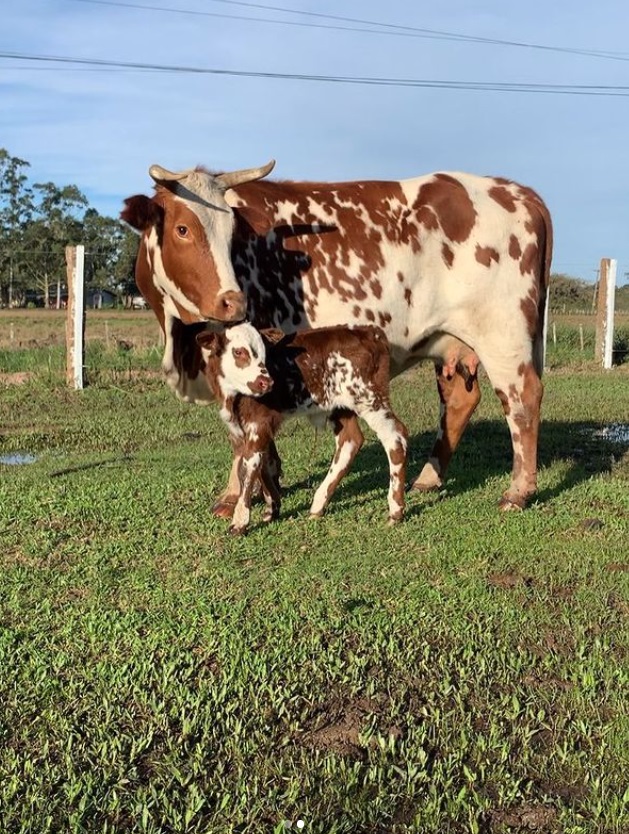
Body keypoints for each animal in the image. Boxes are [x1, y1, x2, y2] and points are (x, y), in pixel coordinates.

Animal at [120, 159, 552, 510]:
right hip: (450, 340)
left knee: (522, 398)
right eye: (182, 229)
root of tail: (520, 192)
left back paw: (518, 491)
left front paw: (236, 495)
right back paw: (427, 479)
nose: (233, 302)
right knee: (461, 400)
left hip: (503, 334)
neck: (180, 341)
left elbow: (243, 434)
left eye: (231, 235)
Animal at [195, 320, 408, 532]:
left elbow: (248, 468)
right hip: (339, 406)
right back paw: (318, 505)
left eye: (264, 353)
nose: (266, 382)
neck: (232, 396)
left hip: (369, 398)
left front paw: (239, 522)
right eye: (238, 352)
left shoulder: (259, 422)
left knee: (395, 437)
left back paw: (395, 511)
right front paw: (272, 509)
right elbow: (263, 465)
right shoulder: (248, 428)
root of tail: (370, 332)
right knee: (350, 440)